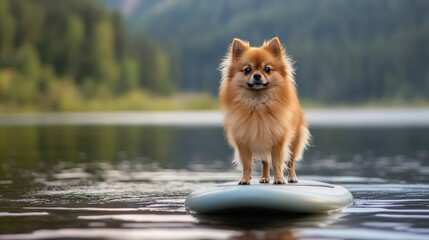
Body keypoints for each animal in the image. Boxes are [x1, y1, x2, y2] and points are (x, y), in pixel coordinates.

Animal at [219, 36, 310, 185]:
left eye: (267, 69)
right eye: (247, 70)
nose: (257, 76)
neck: (258, 102)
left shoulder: (278, 140)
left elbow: (277, 162)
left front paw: (279, 179)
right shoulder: (244, 141)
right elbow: (247, 164)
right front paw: (245, 179)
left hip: (294, 141)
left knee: (291, 162)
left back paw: (292, 177)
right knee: (265, 162)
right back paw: (265, 178)